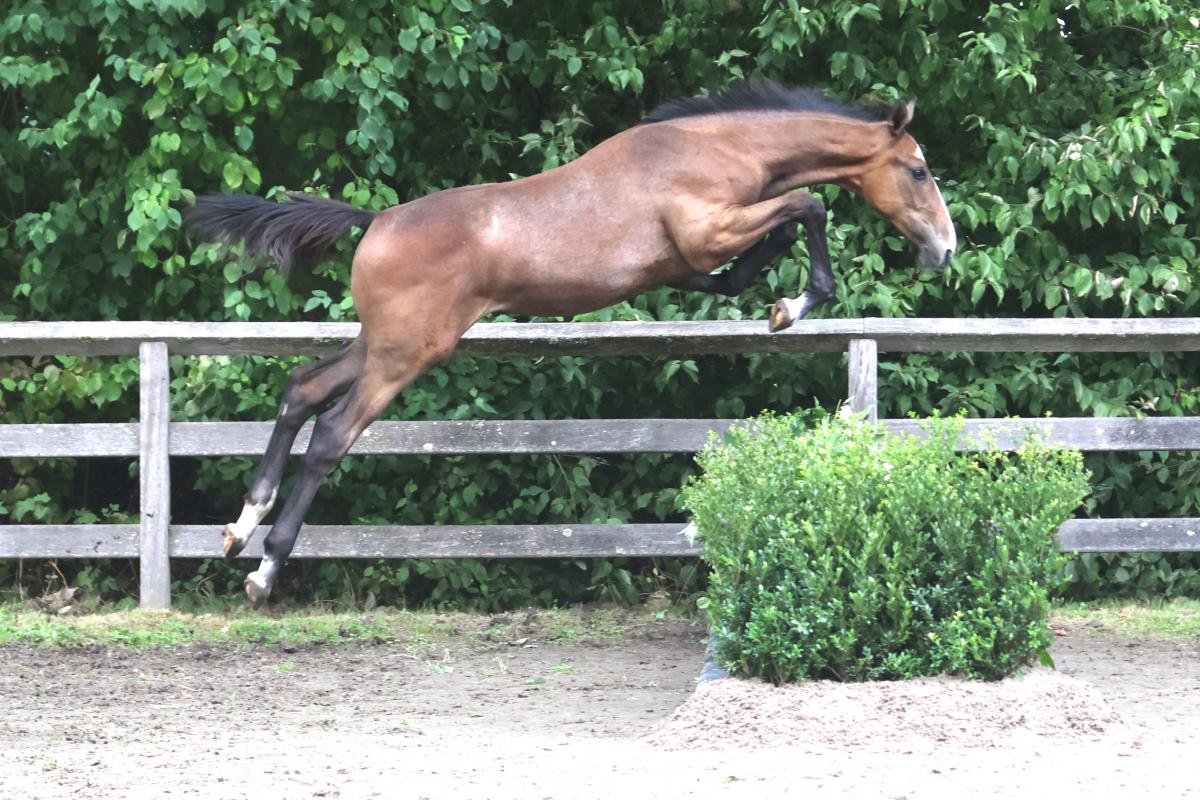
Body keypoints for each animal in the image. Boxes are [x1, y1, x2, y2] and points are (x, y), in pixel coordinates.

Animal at [185, 82, 957, 606]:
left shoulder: (691, 256)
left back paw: (239, 528)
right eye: (918, 170)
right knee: (332, 434)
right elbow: (807, 208)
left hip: (380, 344)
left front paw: (771, 300)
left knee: (302, 390)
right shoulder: (708, 229)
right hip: (407, 355)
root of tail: (375, 221)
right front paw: (792, 306)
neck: (714, 147)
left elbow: (759, 250)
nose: (945, 251)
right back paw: (265, 570)